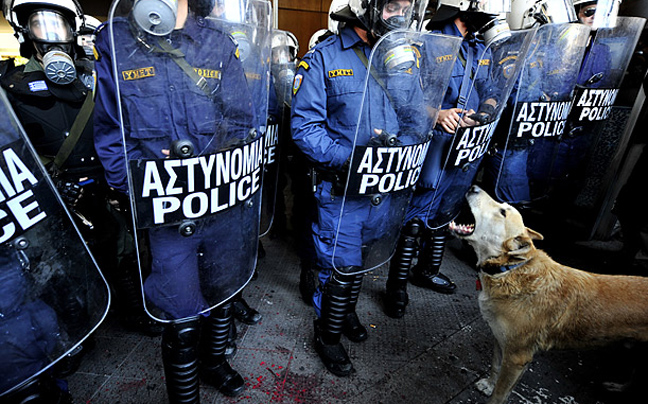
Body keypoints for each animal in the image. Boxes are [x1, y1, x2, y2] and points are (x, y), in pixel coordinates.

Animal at [448, 185, 648, 404]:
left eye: (503, 212)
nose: (473, 187)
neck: (509, 269)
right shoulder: (501, 341)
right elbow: (495, 366)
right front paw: (489, 385)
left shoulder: (517, 356)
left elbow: (500, 394)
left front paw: (493, 393)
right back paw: (618, 387)